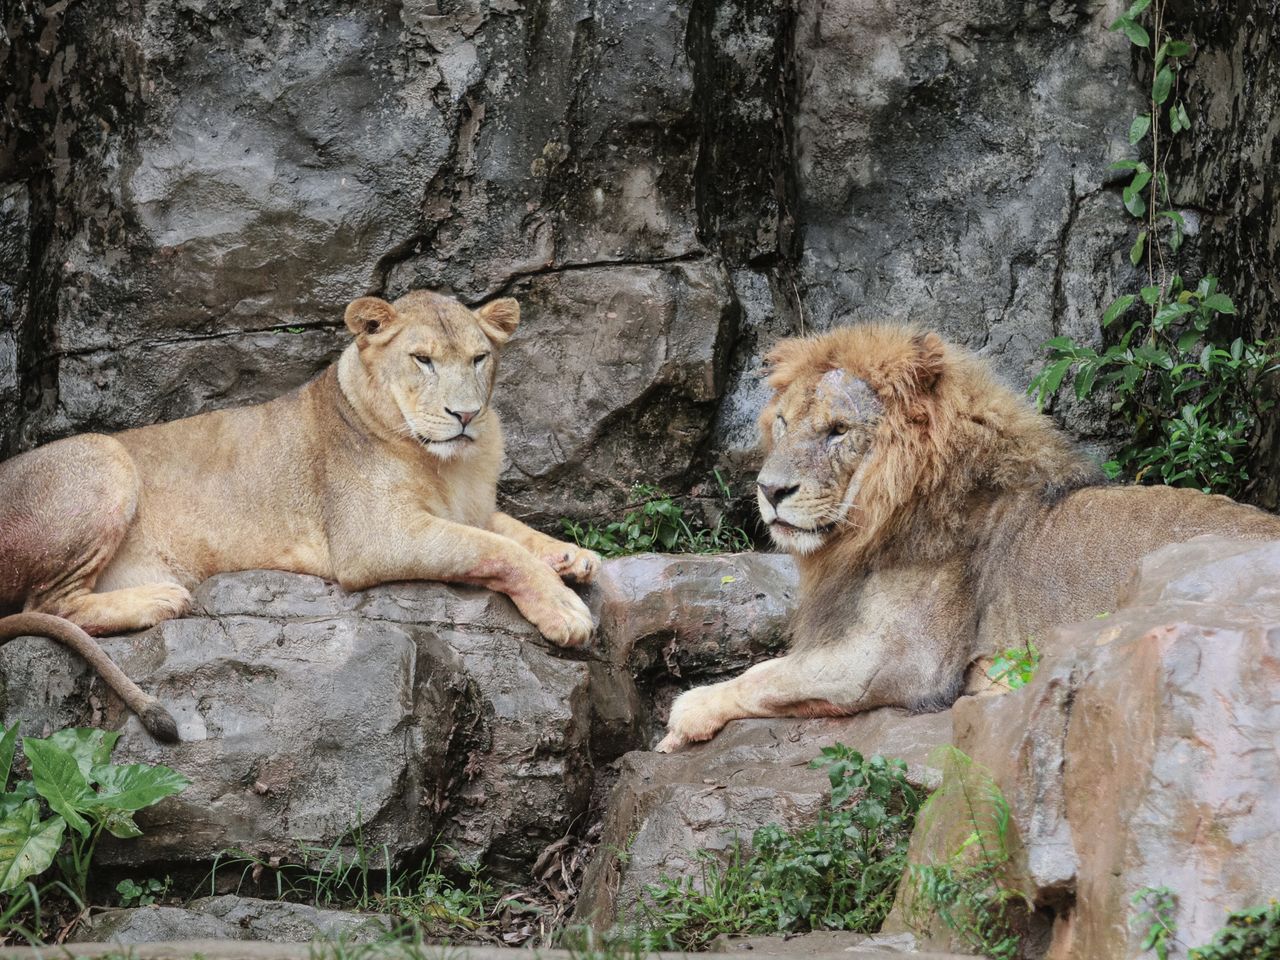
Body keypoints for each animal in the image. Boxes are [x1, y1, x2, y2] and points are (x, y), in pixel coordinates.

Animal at [0, 291, 600, 742]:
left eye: (479, 358)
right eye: (423, 359)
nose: (467, 414)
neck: (450, 465)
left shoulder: (471, 506)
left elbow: (514, 531)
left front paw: (573, 556)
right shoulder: (374, 538)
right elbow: (497, 549)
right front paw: (564, 609)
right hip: (105, 457)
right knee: (48, 604)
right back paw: (159, 598)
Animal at [657, 324, 1280, 751]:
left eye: (837, 430)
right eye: (783, 423)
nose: (769, 489)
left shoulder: (903, 660)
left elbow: (769, 674)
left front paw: (686, 714)